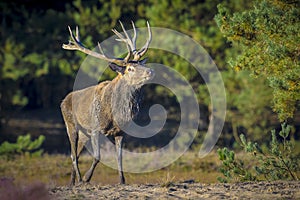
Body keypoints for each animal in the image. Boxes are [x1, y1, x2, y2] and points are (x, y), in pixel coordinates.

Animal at [61, 21, 155, 185]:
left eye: (141, 65)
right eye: (130, 68)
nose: (150, 71)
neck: (115, 112)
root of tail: (63, 100)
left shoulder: (121, 131)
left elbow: (120, 157)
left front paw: (122, 181)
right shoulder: (95, 128)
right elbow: (97, 156)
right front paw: (86, 178)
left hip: (84, 133)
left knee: (76, 154)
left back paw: (72, 182)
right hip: (71, 125)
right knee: (72, 155)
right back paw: (79, 179)